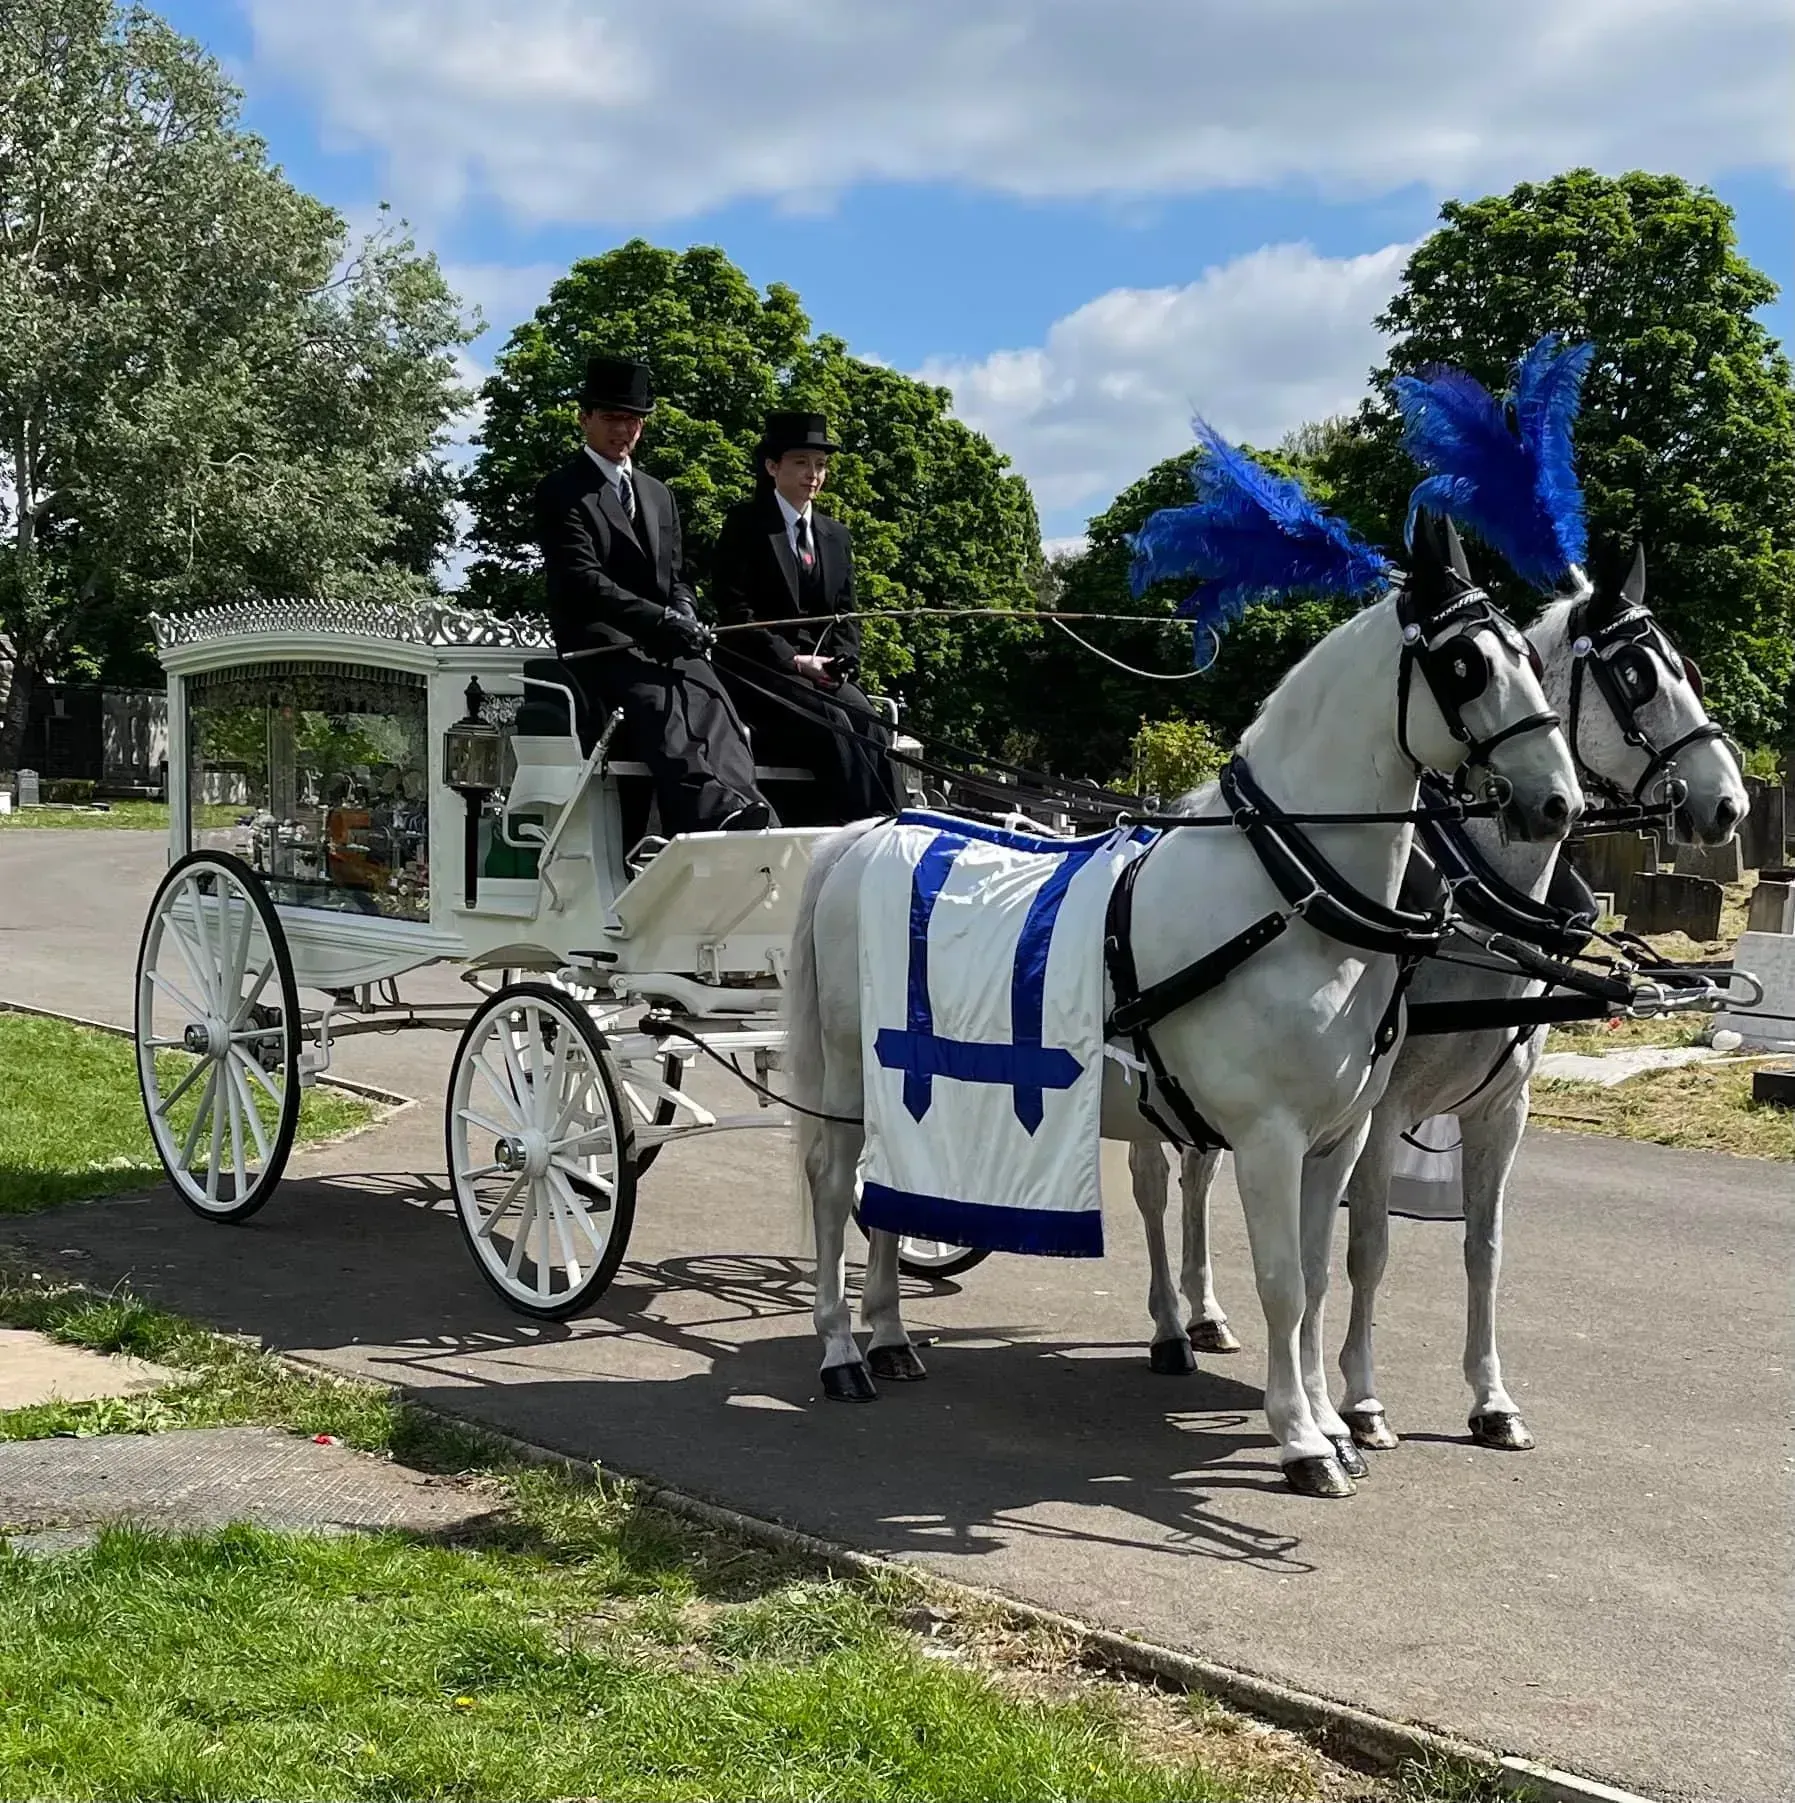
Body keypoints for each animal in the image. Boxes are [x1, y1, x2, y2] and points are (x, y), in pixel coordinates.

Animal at [785, 512, 1585, 1492]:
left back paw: (892, 1335)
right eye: (1465, 662)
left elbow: (1319, 1276)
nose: (1555, 804)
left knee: (890, 1192)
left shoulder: (1338, 1136)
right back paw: (841, 1351)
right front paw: (1303, 1438)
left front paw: (1331, 1418)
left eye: (1529, 653)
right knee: (835, 1187)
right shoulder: (1269, 1138)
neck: (1285, 896)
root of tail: (869, 832)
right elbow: (1282, 1282)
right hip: (854, 1078)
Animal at [1138, 548, 1737, 1449]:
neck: (1475, 901)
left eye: (1686, 668)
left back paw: (1206, 1312)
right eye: (1635, 674)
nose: (1729, 802)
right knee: (1154, 1182)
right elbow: (1367, 1248)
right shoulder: (1378, 1110)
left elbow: (1482, 1247)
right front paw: (1359, 1399)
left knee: (1200, 1173)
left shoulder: (1500, 1109)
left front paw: (1490, 1398)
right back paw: (1171, 1325)